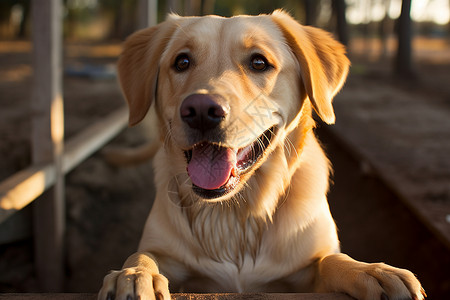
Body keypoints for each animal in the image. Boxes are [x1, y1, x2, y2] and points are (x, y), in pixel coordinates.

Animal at [98, 9, 426, 300]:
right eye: (182, 62)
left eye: (258, 62)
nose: (201, 111)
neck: (234, 215)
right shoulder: (167, 254)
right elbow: (142, 255)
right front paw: (133, 276)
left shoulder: (307, 269)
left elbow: (331, 260)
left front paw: (372, 271)